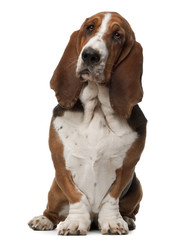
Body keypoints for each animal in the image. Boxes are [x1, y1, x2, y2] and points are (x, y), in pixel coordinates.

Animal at [28, 10, 148, 234]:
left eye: (117, 35)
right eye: (89, 28)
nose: (90, 55)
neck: (97, 108)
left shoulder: (127, 167)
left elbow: (111, 198)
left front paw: (113, 222)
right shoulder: (60, 163)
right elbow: (77, 197)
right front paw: (75, 223)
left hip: (137, 187)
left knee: (129, 210)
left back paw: (126, 219)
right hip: (54, 190)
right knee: (53, 210)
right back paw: (44, 219)